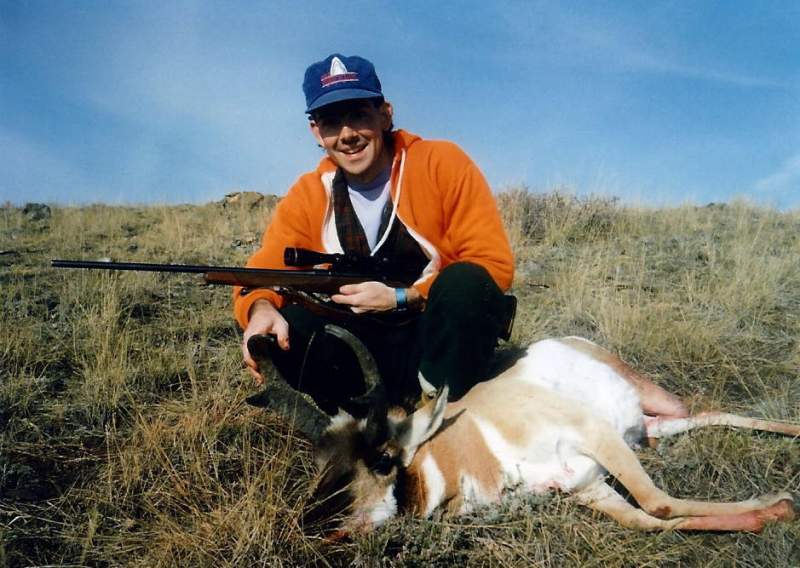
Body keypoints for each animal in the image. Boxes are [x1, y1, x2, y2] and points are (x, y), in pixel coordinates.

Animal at [247, 326, 796, 536]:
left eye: (383, 458)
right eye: (321, 464)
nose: (312, 526)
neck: (470, 439)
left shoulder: (596, 437)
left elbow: (659, 503)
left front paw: (780, 503)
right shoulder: (589, 488)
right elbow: (654, 522)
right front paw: (764, 514)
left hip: (646, 407)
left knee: (704, 408)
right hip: (649, 428)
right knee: (707, 417)